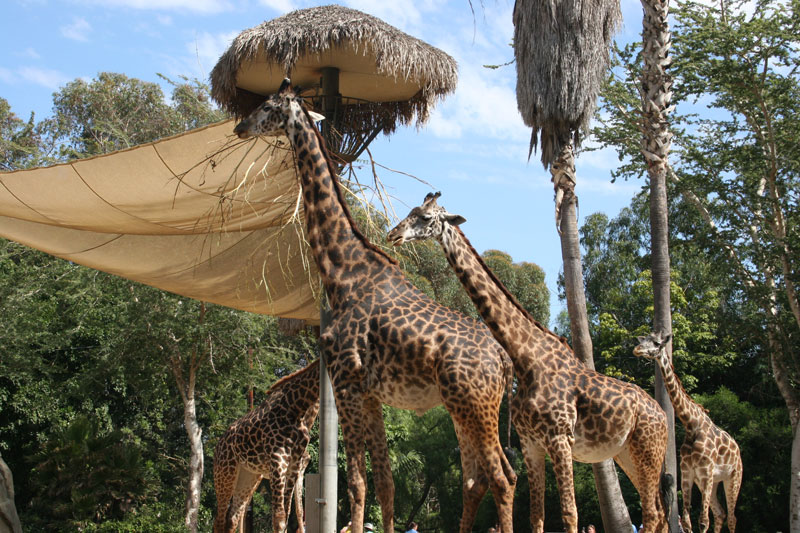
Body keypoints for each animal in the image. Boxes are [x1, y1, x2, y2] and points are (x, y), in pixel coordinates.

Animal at [213, 359, 320, 533]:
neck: (296, 408)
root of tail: (218, 445)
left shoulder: (295, 467)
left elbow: (292, 512)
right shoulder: (278, 461)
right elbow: (280, 518)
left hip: (248, 477)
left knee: (233, 518)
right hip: (225, 474)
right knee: (220, 520)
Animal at [232, 80, 517, 533]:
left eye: (267, 105)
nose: (240, 126)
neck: (342, 270)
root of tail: (503, 361)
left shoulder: (346, 384)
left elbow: (356, 484)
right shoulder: (372, 395)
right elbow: (385, 483)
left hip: (475, 407)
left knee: (501, 480)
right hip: (469, 410)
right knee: (491, 478)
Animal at [388, 192, 672, 533]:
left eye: (426, 218)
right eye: (411, 211)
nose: (393, 234)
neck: (525, 359)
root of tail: (663, 415)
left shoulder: (559, 438)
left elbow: (569, 512)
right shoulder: (530, 443)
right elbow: (537, 515)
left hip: (648, 453)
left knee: (653, 513)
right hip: (626, 455)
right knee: (658, 512)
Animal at [634, 331, 743, 533]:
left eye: (656, 343)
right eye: (643, 339)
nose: (637, 349)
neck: (691, 423)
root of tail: (738, 449)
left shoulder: (705, 470)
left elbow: (703, 520)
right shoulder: (687, 472)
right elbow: (686, 520)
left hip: (733, 477)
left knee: (732, 517)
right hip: (712, 481)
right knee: (720, 513)